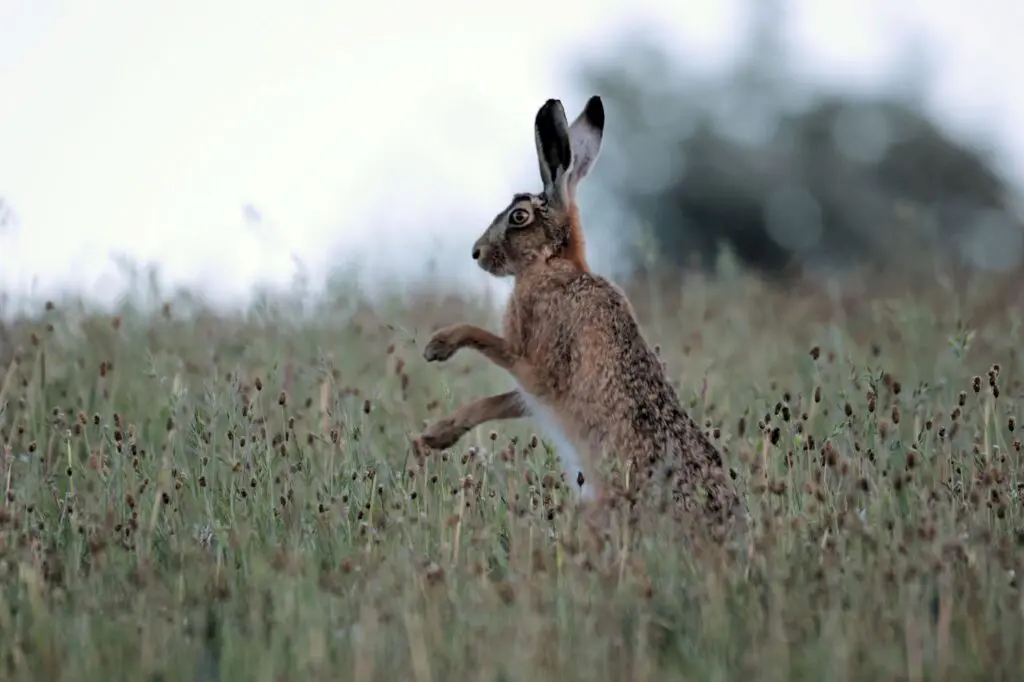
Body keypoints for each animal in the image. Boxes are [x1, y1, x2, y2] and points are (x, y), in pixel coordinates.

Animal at [417, 96, 743, 532]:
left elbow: (486, 340)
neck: (553, 264)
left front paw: (440, 345)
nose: (476, 253)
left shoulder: (534, 363)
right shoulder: (533, 392)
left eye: (519, 216)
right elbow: (503, 400)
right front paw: (435, 437)